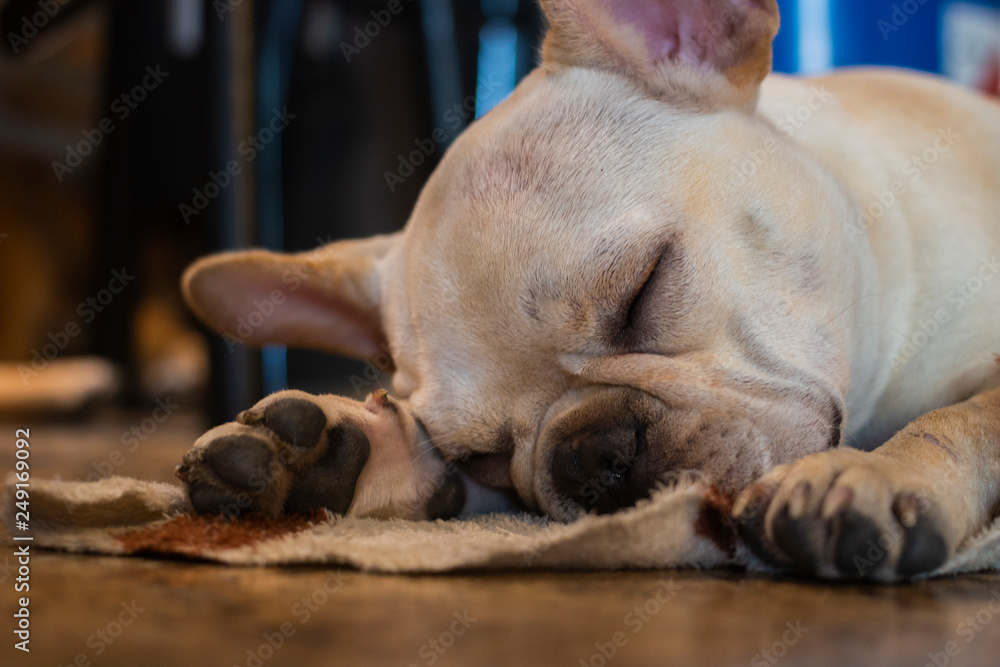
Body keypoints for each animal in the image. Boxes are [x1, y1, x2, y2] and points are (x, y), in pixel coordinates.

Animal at [176, 0, 1000, 580]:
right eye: (479, 453)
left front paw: (875, 472)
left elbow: (961, 415)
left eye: (644, 288)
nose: (589, 454)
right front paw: (343, 455)